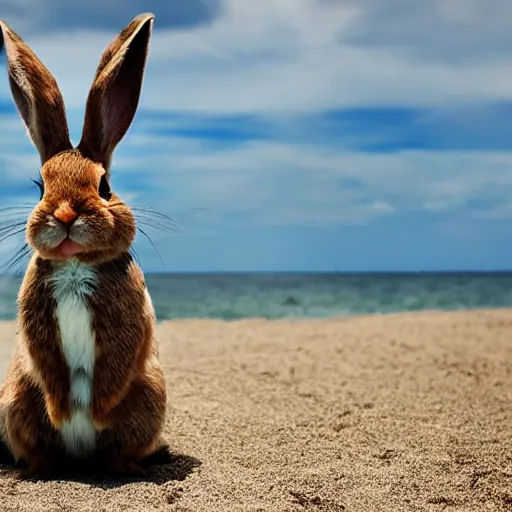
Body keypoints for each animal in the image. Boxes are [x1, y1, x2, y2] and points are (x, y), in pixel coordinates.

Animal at [0, 12, 166, 476]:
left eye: (105, 186)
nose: (65, 215)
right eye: (41, 187)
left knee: (120, 448)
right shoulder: (37, 332)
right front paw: (63, 412)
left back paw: (128, 467)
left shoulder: (126, 323)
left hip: (150, 395)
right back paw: (38, 468)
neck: (76, 265)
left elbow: (114, 365)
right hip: (16, 397)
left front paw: (97, 412)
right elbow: (51, 368)